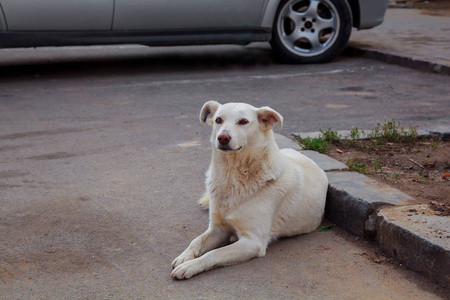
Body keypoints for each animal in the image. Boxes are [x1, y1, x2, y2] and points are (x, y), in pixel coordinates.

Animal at [171, 102, 328, 280]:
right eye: (218, 120)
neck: (232, 176)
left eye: (243, 121)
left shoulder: (253, 242)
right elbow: (196, 241)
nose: (223, 138)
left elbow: (214, 254)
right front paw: (185, 256)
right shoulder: (218, 229)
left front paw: (190, 266)